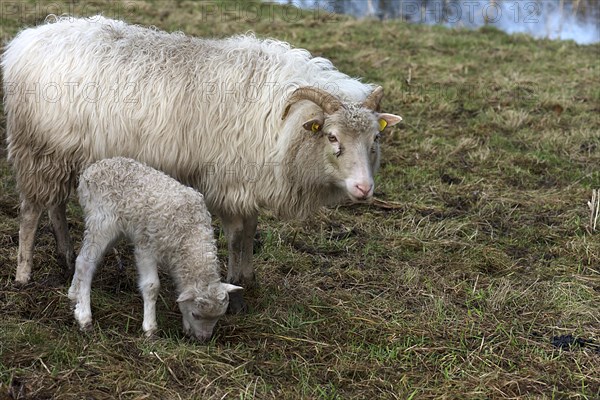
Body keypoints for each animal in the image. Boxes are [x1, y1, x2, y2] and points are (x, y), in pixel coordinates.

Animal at [2, 14, 404, 312]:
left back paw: (67, 257)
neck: (286, 123)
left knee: (53, 204)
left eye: (375, 139)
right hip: (37, 147)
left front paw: (249, 279)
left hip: (60, 154)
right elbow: (237, 235)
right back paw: (23, 273)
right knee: (31, 211)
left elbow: (250, 232)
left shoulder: (246, 182)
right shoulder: (229, 182)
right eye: (332, 137)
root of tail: (27, 41)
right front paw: (237, 286)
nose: (364, 189)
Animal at [67, 156, 241, 340]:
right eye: (196, 315)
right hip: (101, 221)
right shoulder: (146, 247)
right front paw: (150, 328)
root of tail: (93, 168)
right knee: (85, 263)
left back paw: (73, 295)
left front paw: (186, 327)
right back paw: (84, 316)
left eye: (219, 317)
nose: (204, 338)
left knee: (82, 259)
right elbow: (151, 286)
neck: (190, 231)